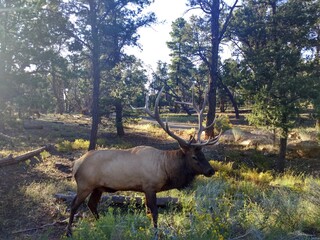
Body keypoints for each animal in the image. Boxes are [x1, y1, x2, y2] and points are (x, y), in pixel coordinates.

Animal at [65, 86, 220, 236]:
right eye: (194, 157)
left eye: (203, 154)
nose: (210, 171)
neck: (166, 168)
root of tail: (76, 164)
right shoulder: (150, 186)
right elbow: (155, 213)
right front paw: (156, 233)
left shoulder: (146, 189)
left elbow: (148, 213)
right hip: (85, 184)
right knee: (74, 205)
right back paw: (69, 232)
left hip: (98, 187)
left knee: (92, 204)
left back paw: (101, 225)